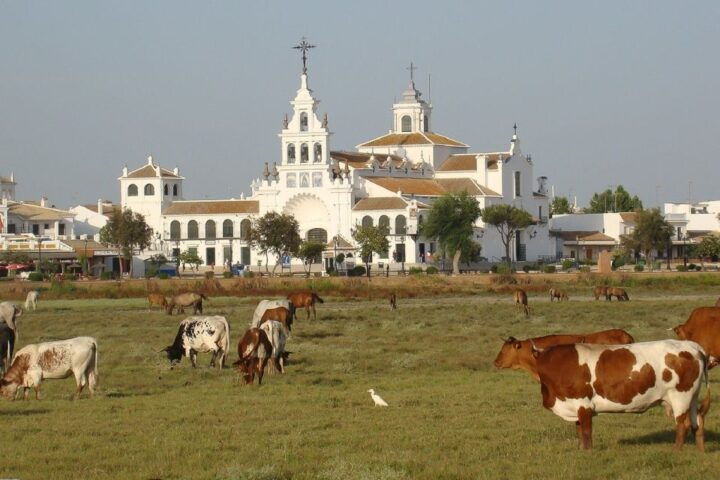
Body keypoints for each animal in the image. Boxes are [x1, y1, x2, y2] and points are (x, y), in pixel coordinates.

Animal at [536, 342, 708, 450]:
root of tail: (692, 346)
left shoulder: (584, 404)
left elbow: (586, 433)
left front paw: (588, 453)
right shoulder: (575, 406)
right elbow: (579, 432)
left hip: (681, 396)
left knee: (683, 424)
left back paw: (676, 451)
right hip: (692, 397)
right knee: (697, 422)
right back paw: (700, 452)